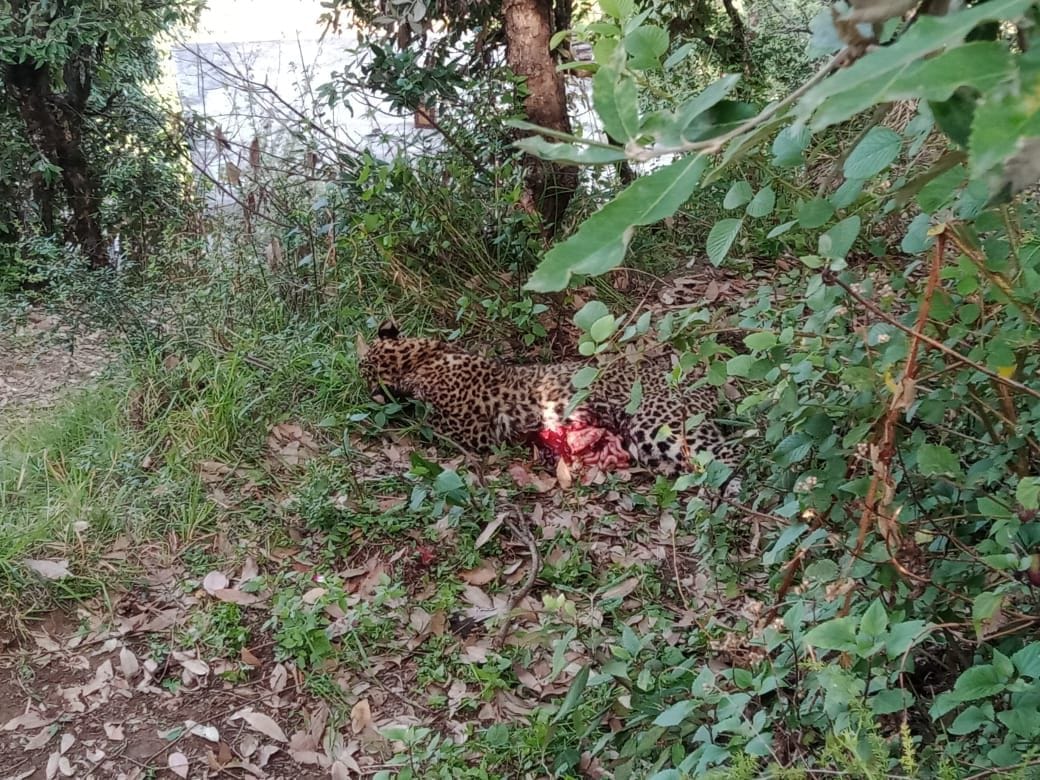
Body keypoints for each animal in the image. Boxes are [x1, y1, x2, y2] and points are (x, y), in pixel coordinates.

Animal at [357, 320, 743, 494]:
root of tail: (706, 387)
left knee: (732, 455)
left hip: (659, 425)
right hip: (648, 443)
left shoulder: (473, 432)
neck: (419, 359)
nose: (362, 391)